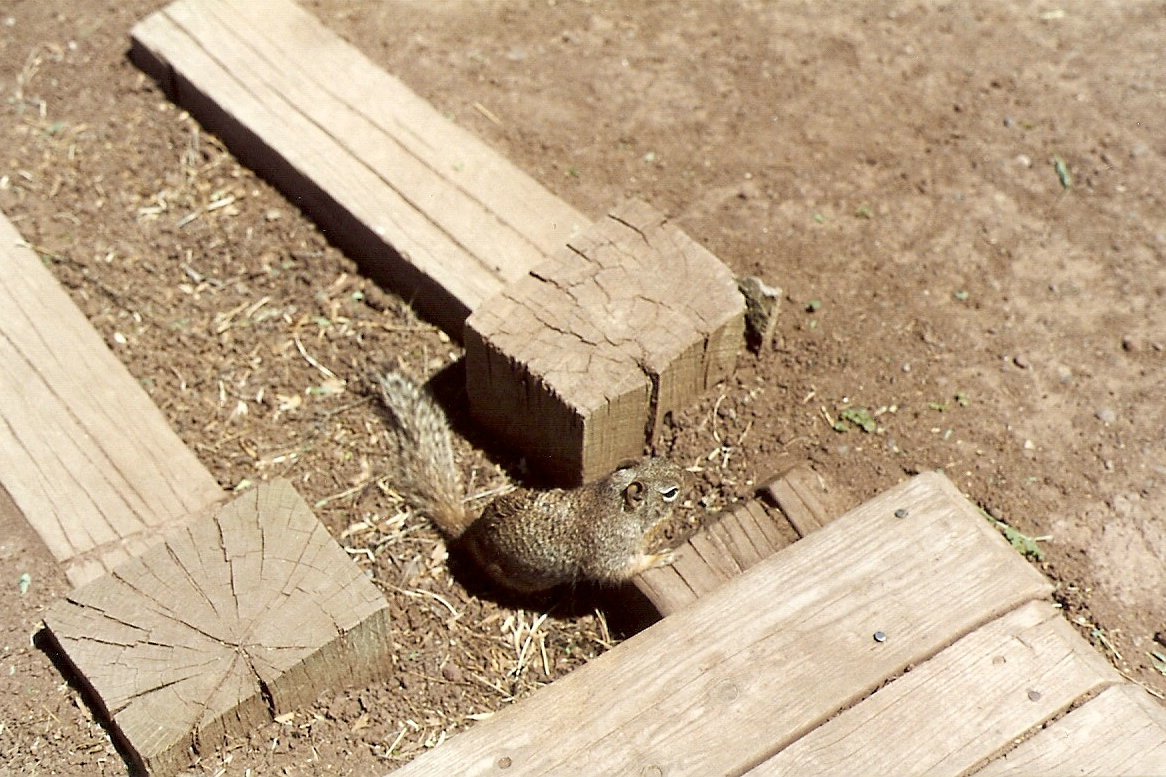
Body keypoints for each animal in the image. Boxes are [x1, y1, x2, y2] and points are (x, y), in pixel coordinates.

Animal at [376, 370, 687, 594]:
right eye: (670, 492)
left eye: (658, 460)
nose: (688, 477)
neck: (612, 501)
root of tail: (471, 532)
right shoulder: (613, 552)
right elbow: (625, 569)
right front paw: (661, 556)